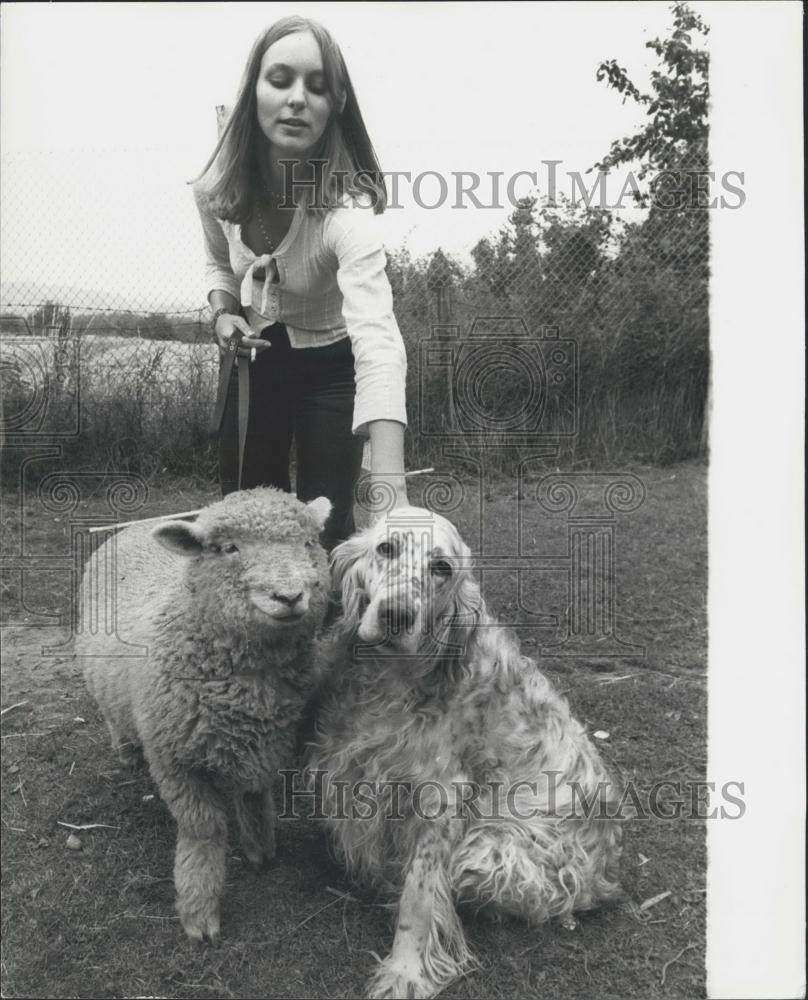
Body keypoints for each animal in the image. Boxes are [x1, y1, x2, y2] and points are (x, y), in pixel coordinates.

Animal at [80, 488, 332, 940]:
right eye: (229, 548)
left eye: (308, 543)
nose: (289, 597)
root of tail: (138, 526)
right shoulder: (176, 763)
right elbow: (204, 830)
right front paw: (199, 910)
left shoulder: (267, 746)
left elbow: (254, 796)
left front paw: (260, 850)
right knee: (113, 717)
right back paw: (126, 752)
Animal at [306, 508, 620, 1000]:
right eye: (386, 549)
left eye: (441, 568)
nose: (396, 614)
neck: (391, 679)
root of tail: (607, 875)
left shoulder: (440, 801)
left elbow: (418, 895)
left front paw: (406, 971)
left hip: (487, 854)